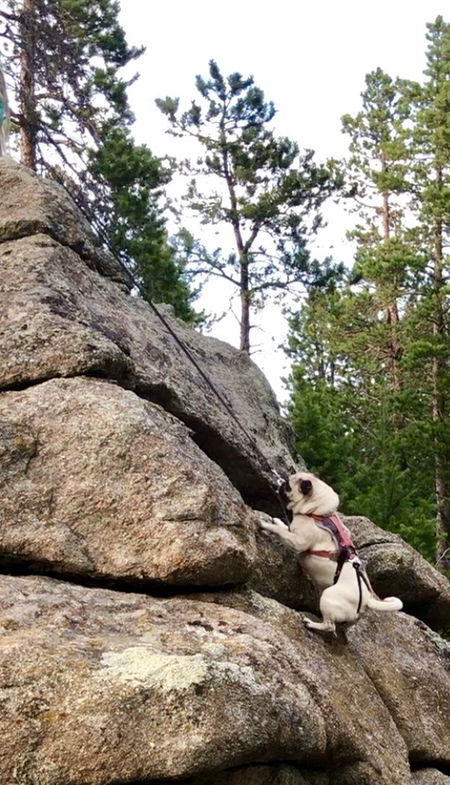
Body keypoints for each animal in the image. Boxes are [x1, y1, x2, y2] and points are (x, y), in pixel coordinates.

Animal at [258, 468, 402, 632]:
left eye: (288, 485)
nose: (281, 483)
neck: (317, 512)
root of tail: (368, 599)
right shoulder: (293, 532)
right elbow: (284, 528)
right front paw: (277, 521)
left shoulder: (297, 541)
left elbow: (281, 532)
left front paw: (266, 525)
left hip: (327, 597)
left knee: (329, 626)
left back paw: (311, 623)